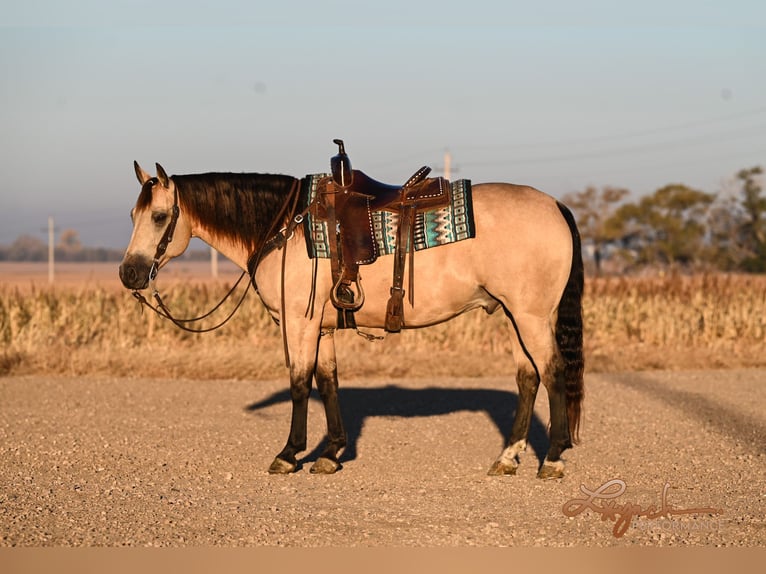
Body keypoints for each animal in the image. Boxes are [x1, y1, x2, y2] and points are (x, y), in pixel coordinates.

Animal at [118, 153, 588, 482]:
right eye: (132, 215)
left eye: (159, 216)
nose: (129, 274)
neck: (285, 227)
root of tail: (555, 205)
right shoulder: (322, 327)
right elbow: (328, 382)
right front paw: (330, 454)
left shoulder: (299, 324)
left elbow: (299, 383)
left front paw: (289, 454)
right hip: (513, 314)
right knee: (527, 378)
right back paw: (508, 458)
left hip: (530, 316)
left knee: (552, 371)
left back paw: (553, 459)